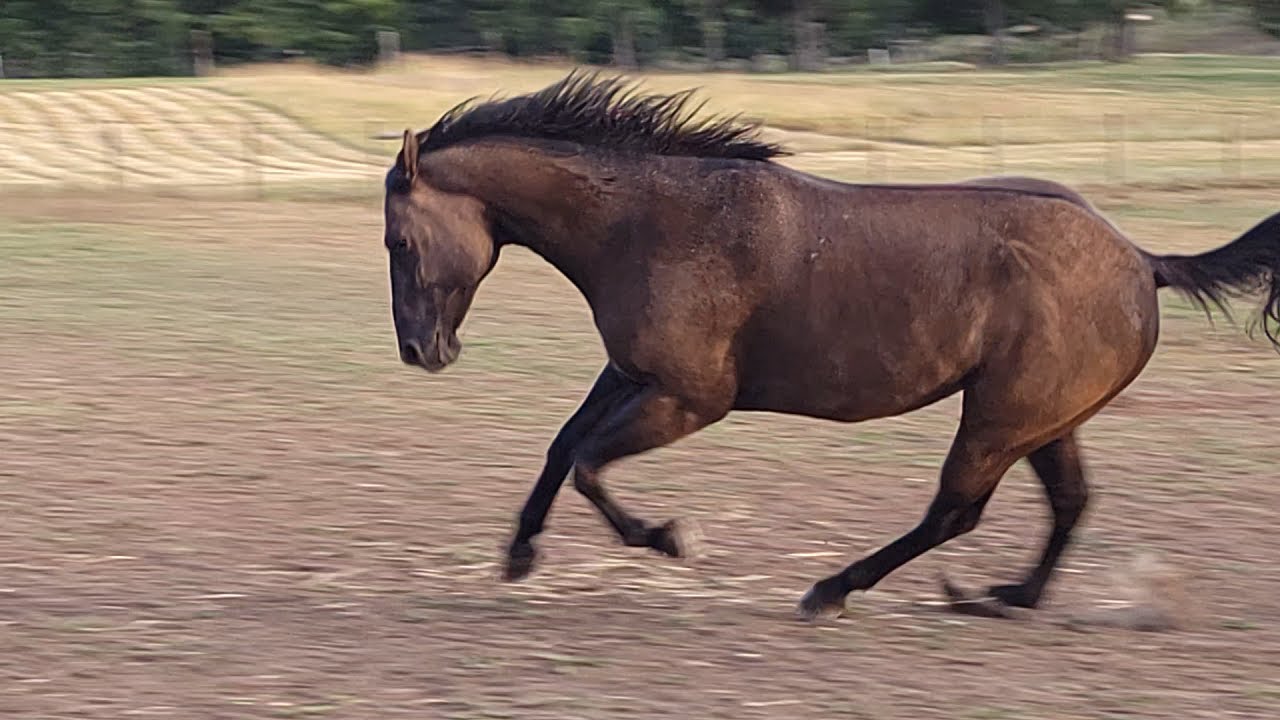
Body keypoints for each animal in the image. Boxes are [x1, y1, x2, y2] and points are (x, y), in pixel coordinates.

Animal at [381, 71, 1280, 620]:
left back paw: (833, 589)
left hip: (999, 418)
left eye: (397, 240)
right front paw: (518, 555)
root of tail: (1141, 259)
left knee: (956, 510)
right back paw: (1004, 597)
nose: (422, 352)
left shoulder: (691, 398)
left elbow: (590, 466)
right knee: (1066, 503)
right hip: (1044, 420)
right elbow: (562, 445)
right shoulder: (633, 374)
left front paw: (668, 538)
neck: (651, 221)